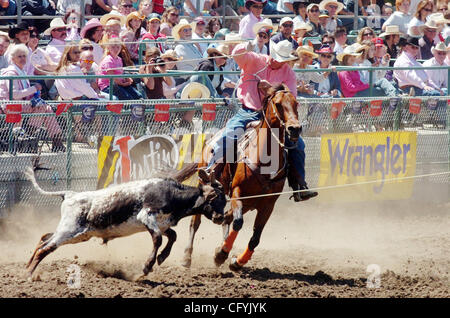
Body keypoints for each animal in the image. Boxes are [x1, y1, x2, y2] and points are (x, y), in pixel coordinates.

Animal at [181, 84, 300, 270]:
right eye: (278, 104)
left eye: (296, 104)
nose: (295, 129)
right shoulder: (238, 191)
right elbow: (238, 222)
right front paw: (221, 254)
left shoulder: (268, 204)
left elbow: (255, 237)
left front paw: (237, 261)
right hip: (207, 187)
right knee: (196, 221)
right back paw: (187, 256)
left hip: (248, 202)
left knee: (226, 218)